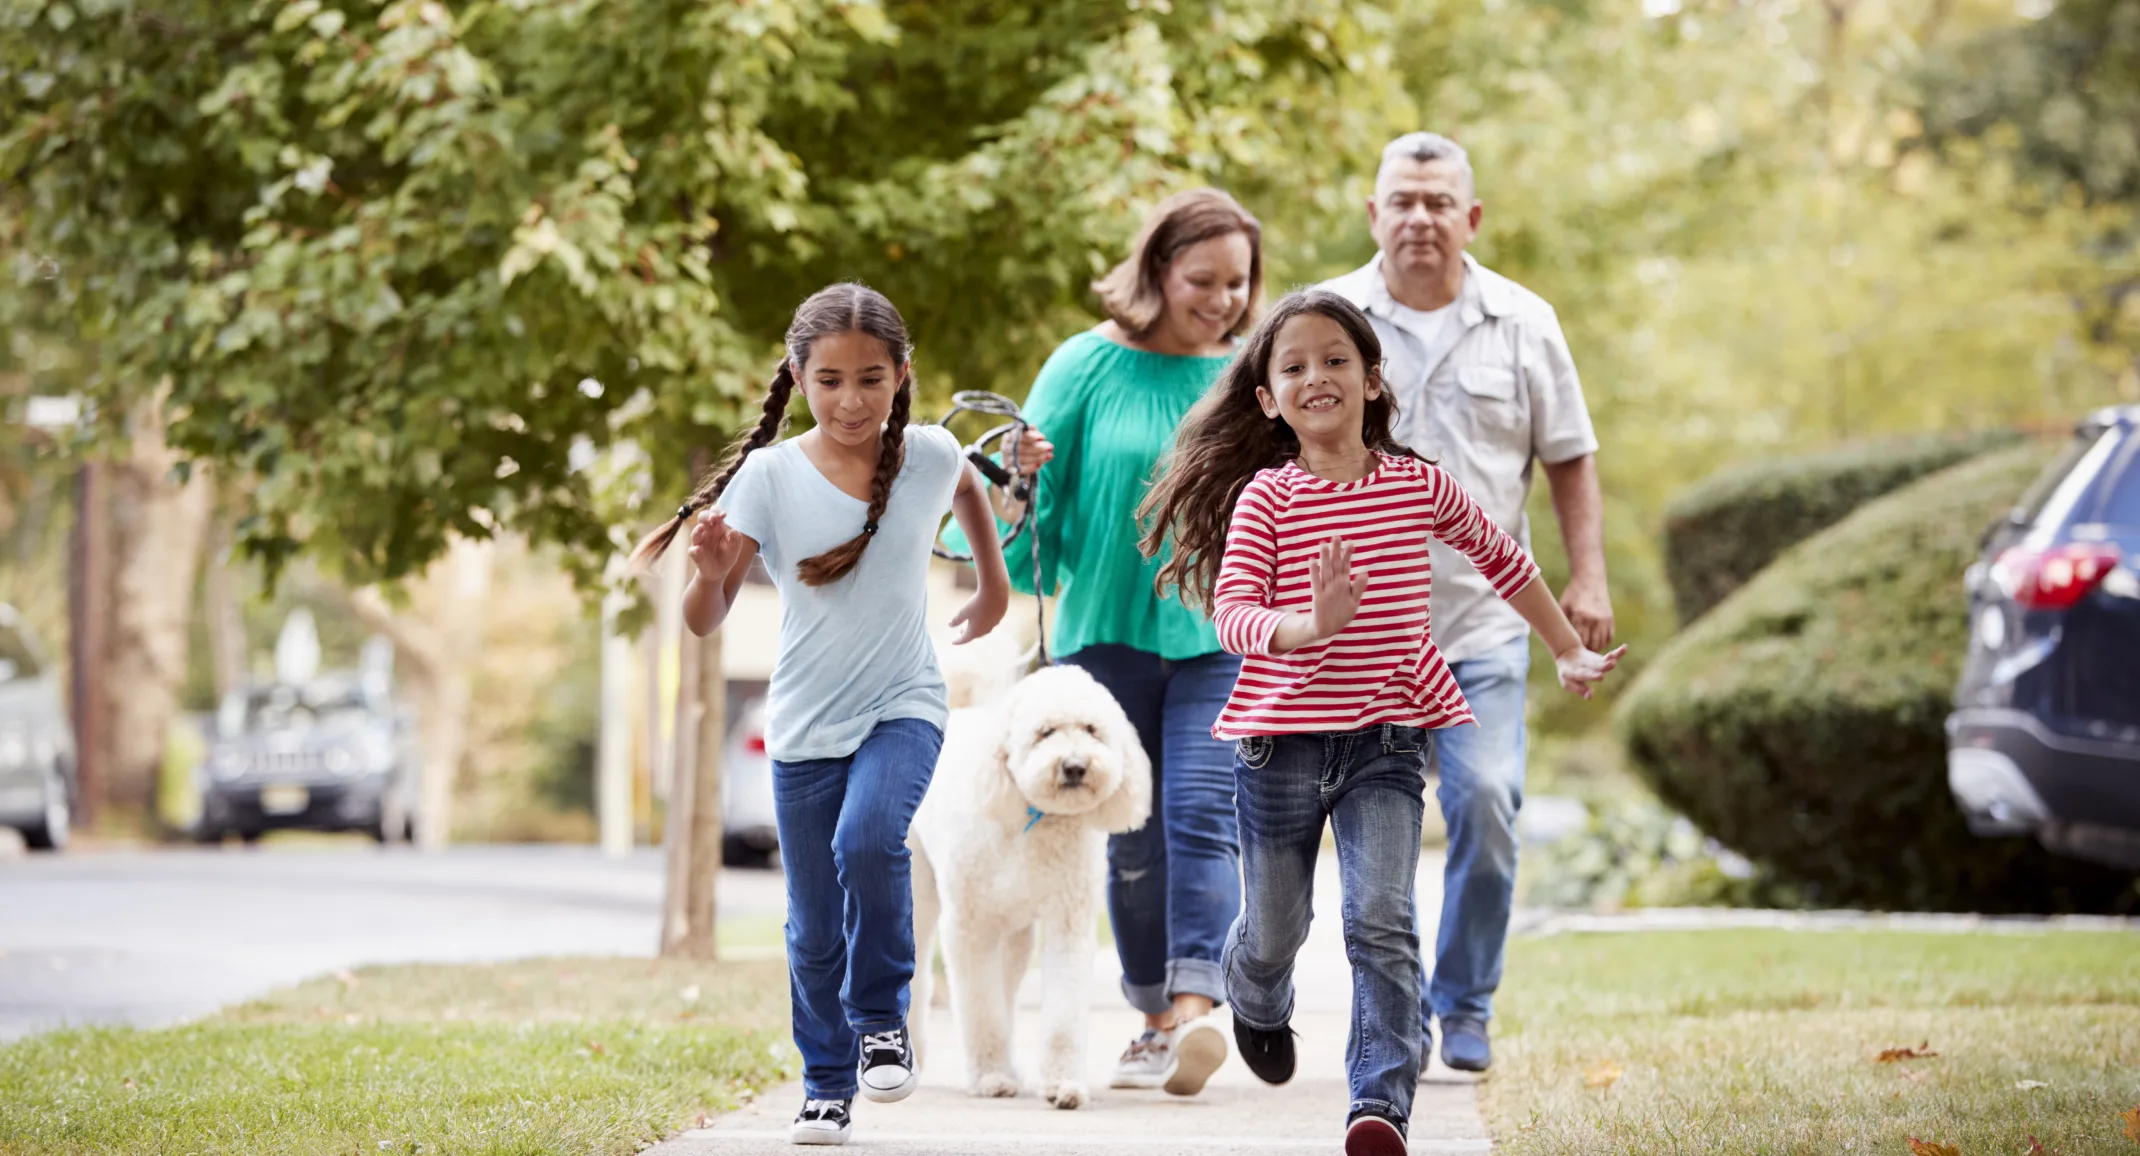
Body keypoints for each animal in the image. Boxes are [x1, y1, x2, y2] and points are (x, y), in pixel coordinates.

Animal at [915, 663, 1164, 1104]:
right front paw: (990, 1077)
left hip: (1015, 935)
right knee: (916, 979)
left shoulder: (1069, 922)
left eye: (1091, 729)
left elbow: (1062, 1013)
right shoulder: (969, 927)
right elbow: (980, 1009)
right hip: (918, 889)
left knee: (1006, 989)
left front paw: (1063, 1083)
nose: (1076, 766)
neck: (1035, 817)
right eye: (1045, 732)